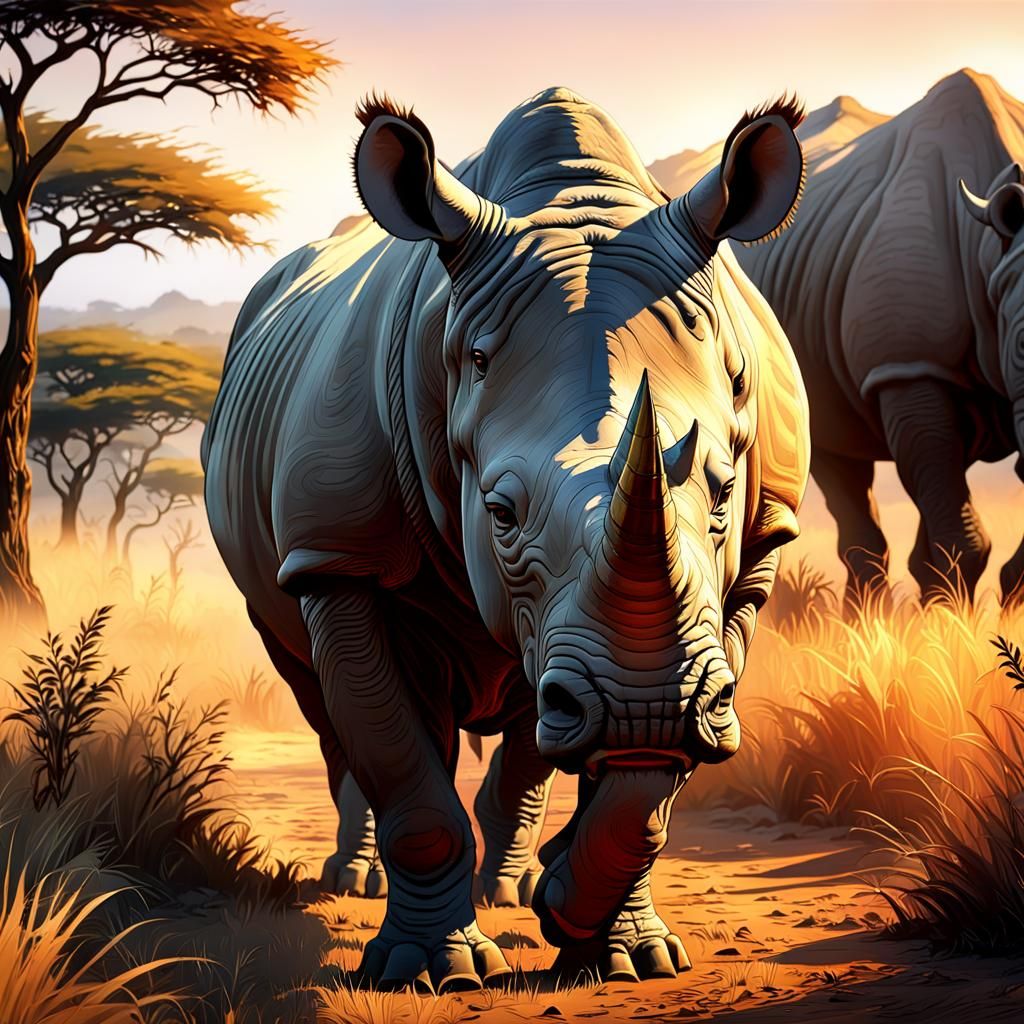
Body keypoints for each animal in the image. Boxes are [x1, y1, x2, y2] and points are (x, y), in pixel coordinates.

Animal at [202, 87, 809, 990]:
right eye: (501, 514)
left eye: (724, 493)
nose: (642, 703)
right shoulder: (339, 555)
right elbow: (401, 764)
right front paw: (427, 971)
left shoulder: (745, 576)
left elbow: (642, 791)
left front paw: (614, 945)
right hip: (289, 557)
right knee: (321, 698)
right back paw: (357, 879)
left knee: (531, 719)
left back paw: (517, 888)